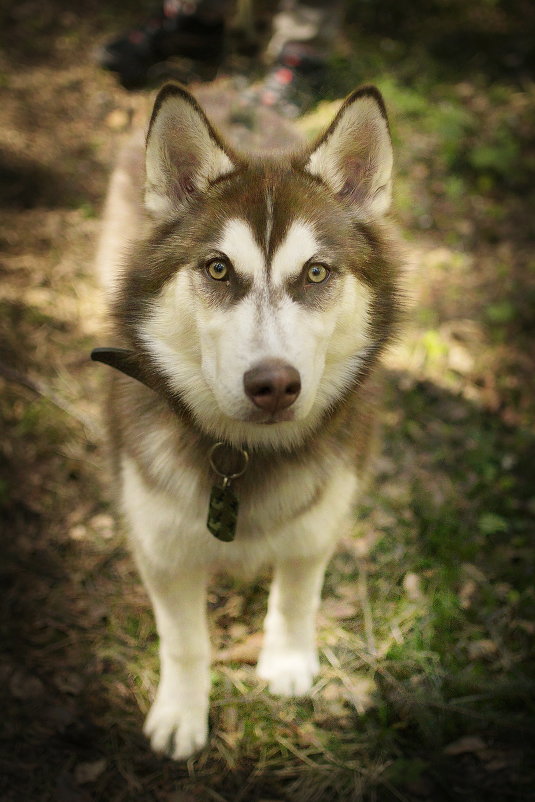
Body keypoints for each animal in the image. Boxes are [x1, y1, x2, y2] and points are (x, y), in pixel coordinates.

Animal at [93, 84, 402, 760]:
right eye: (217, 269)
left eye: (315, 272)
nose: (274, 384)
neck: (241, 454)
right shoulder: (161, 547)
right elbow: (185, 641)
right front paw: (182, 712)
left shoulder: (321, 518)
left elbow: (296, 596)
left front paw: (285, 662)